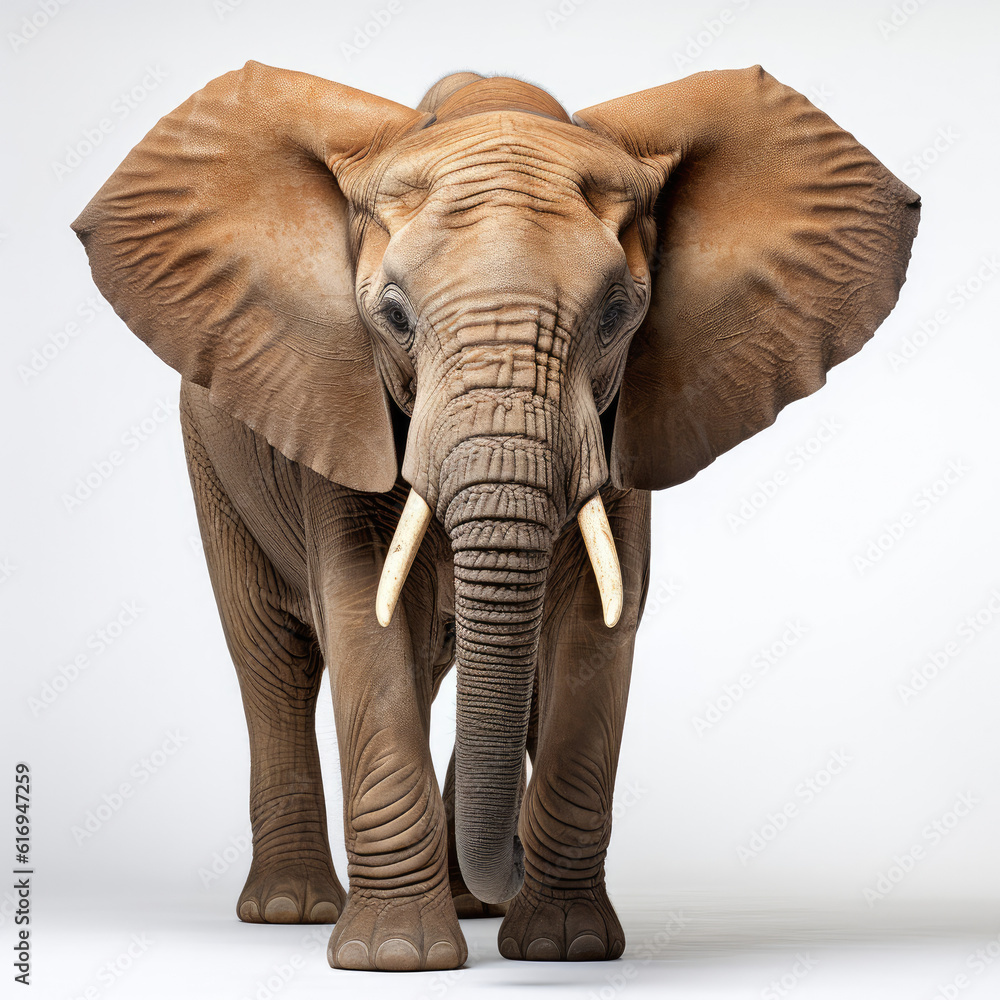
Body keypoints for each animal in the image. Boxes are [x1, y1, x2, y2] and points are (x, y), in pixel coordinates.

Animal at [72, 60, 919, 972]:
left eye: (618, 315)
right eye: (393, 316)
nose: (504, 865)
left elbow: (592, 629)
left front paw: (561, 947)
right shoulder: (343, 405)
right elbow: (365, 616)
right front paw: (395, 957)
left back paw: (468, 903)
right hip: (213, 458)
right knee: (274, 658)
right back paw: (292, 909)